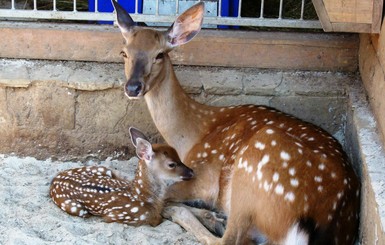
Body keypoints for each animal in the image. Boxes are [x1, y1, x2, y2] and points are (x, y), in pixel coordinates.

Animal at [50, 128, 194, 226]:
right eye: (172, 164)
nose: (191, 172)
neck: (143, 197)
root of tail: (55, 180)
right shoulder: (119, 216)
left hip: (103, 169)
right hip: (77, 208)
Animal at [111, 1, 360, 243]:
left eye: (159, 55)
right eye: (123, 52)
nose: (132, 87)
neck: (192, 135)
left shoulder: (202, 178)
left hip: (253, 170)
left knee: (228, 238)